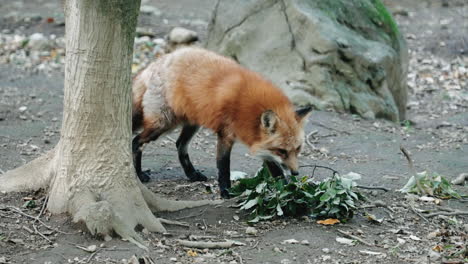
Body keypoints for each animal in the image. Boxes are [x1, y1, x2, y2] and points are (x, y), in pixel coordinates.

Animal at [132, 47, 312, 197]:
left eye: (298, 148)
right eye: (282, 151)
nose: (296, 173)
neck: (250, 110)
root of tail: (160, 61)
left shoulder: (261, 144)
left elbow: (276, 171)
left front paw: (288, 190)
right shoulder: (226, 134)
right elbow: (223, 166)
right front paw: (225, 190)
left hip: (193, 122)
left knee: (179, 144)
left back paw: (192, 174)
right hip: (162, 124)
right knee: (136, 141)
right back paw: (138, 174)